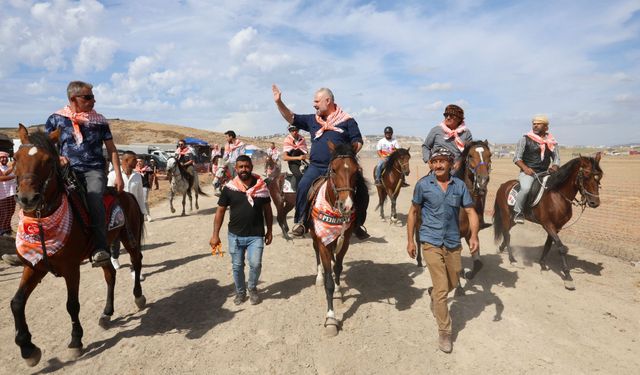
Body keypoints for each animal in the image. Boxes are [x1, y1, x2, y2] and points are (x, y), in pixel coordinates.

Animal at [10, 125, 145, 368]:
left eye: (48, 160)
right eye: (15, 158)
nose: (27, 199)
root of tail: (126, 193)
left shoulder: (71, 268)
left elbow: (72, 304)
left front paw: (75, 341)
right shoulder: (34, 266)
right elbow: (17, 303)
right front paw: (27, 349)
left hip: (129, 238)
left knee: (136, 261)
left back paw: (138, 297)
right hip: (104, 247)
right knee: (110, 274)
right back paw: (106, 313)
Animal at [310, 142, 360, 338]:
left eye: (356, 171)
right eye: (334, 170)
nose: (347, 205)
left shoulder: (344, 241)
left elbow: (338, 268)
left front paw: (339, 292)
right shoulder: (323, 242)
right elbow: (329, 282)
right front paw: (331, 319)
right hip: (314, 236)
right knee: (316, 254)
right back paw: (318, 277)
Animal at [492, 153, 604, 290]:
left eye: (599, 176)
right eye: (586, 175)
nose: (594, 202)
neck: (557, 195)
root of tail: (503, 185)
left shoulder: (557, 227)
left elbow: (548, 245)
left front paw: (542, 264)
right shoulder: (548, 225)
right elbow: (561, 248)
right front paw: (568, 277)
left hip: (513, 218)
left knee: (506, 232)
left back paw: (501, 248)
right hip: (506, 215)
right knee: (507, 234)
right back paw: (512, 259)